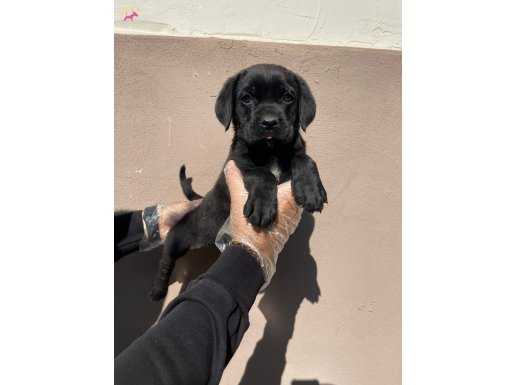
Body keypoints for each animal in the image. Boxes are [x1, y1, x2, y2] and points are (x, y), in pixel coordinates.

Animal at [149, 63, 326, 300]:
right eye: (246, 98)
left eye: (288, 97)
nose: (269, 122)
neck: (270, 151)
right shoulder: (238, 162)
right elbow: (261, 173)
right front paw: (262, 206)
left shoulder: (293, 150)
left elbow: (304, 158)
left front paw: (311, 190)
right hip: (177, 238)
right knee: (166, 259)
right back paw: (158, 290)